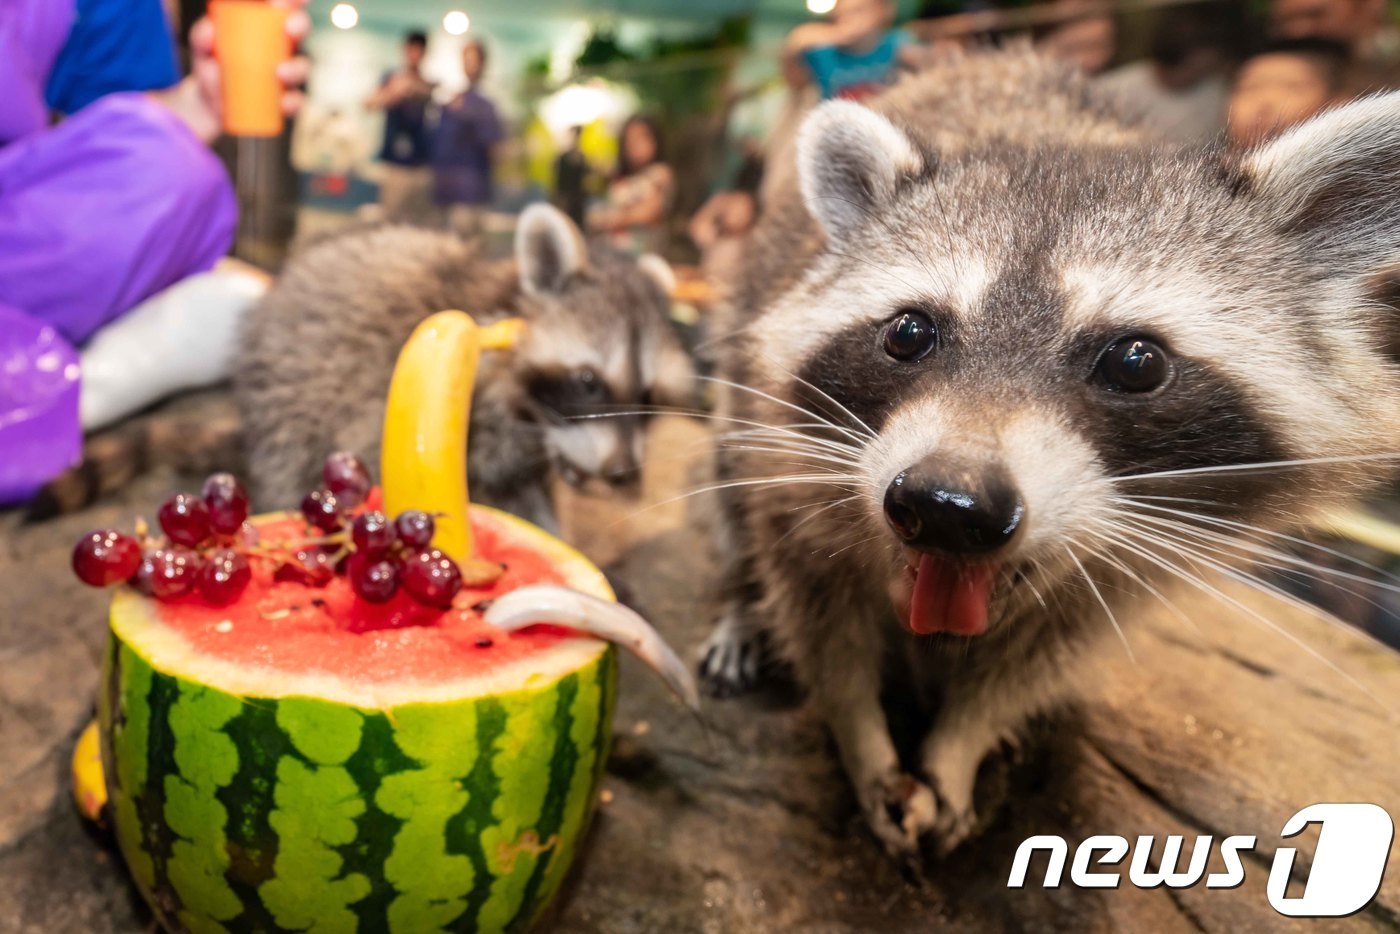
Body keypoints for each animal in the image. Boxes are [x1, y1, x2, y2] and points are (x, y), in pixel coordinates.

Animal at [235, 203, 694, 526]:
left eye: (647, 394)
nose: (622, 473)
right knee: (289, 455)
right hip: (289, 386)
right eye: (587, 381)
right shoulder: (379, 393)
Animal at [705, 47, 1400, 868]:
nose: (947, 505)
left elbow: (1039, 657)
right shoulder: (795, 455)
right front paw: (862, 735)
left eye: (1136, 361)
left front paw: (961, 742)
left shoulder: (1133, 567)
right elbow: (819, 614)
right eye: (909, 332)